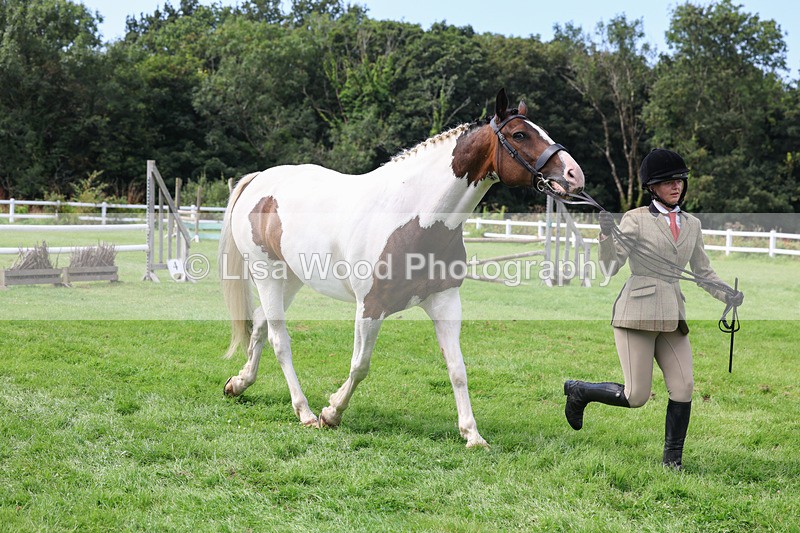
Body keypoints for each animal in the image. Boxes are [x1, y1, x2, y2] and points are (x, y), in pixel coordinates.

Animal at [218, 89, 584, 447]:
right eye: (519, 134)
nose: (574, 175)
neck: (417, 218)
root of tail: (259, 180)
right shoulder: (370, 308)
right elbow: (360, 365)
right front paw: (331, 413)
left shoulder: (445, 302)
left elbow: (457, 369)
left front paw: (472, 434)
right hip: (267, 275)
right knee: (280, 339)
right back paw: (305, 411)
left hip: (291, 279)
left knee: (260, 325)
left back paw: (239, 383)